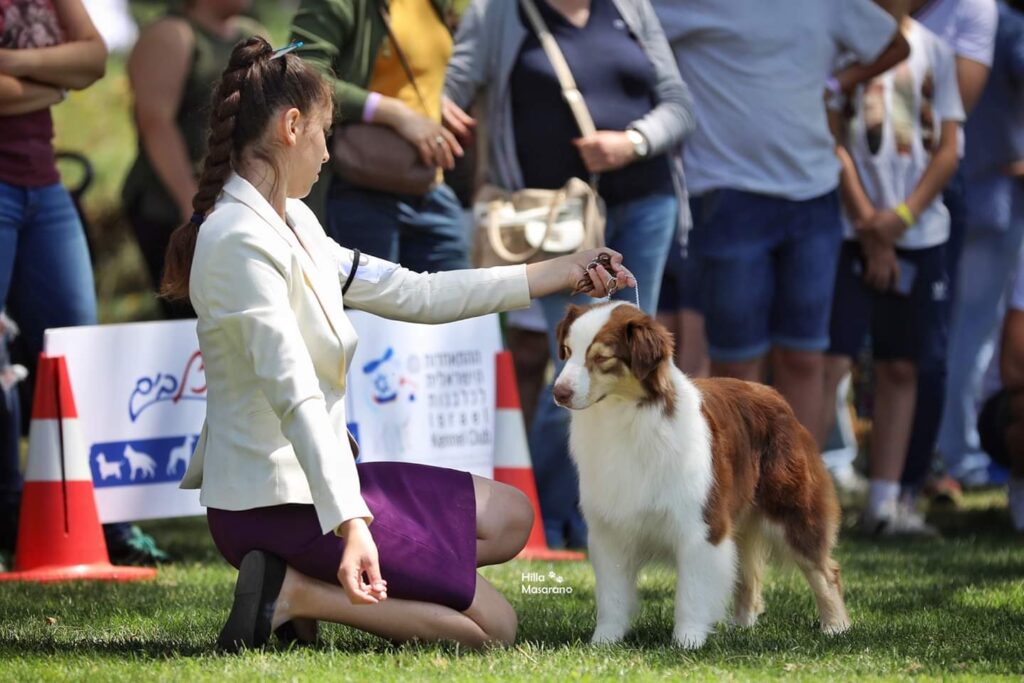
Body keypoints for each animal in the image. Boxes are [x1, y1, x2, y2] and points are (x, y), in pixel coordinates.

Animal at [552, 301, 847, 651]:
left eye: (601, 357)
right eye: (567, 351)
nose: (559, 392)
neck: (624, 418)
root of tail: (772, 393)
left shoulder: (701, 525)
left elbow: (692, 591)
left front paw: (687, 641)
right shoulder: (609, 529)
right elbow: (612, 595)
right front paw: (604, 641)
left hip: (792, 509)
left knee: (825, 570)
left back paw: (836, 627)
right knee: (748, 575)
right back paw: (741, 627)